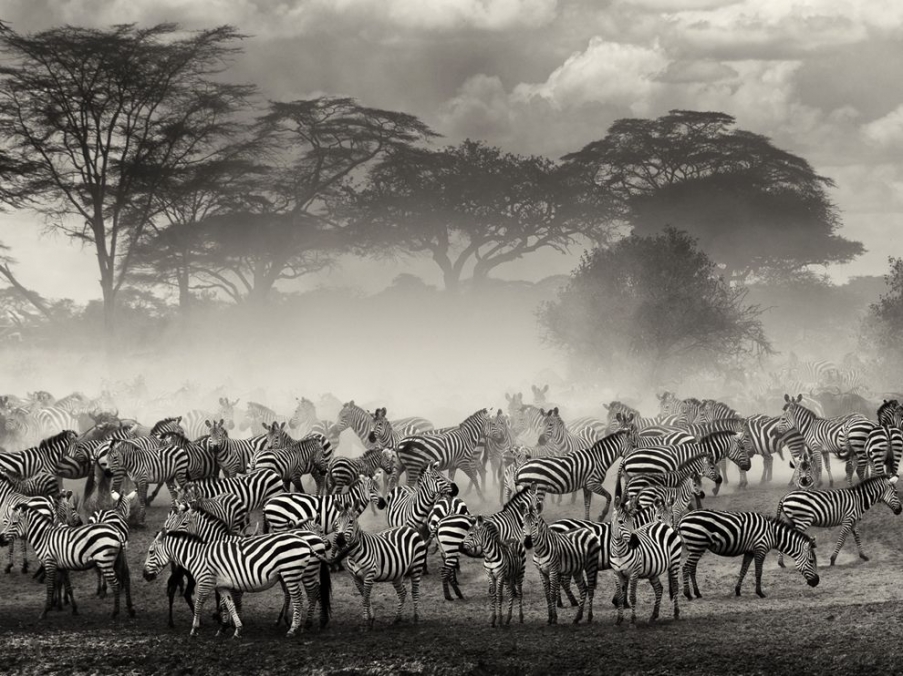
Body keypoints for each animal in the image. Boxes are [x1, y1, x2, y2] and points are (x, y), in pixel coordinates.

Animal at [0, 502, 134, 618]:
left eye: (14, 523)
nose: (0, 538)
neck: (43, 537)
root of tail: (116, 531)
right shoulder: (62, 566)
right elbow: (68, 588)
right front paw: (74, 609)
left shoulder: (49, 563)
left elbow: (50, 587)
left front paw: (45, 611)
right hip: (117, 560)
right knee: (126, 580)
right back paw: (130, 609)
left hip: (104, 561)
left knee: (116, 584)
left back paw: (115, 612)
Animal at [142, 528, 326, 637]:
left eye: (150, 552)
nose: (145, 575)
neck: (197, 556)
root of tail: (305, 541)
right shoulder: (222, 586)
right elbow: (230, 605)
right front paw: (236, 629)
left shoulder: (205, 581)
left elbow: (199, 604)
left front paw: (194, 629)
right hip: (296, 573)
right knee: (311, 593)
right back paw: (303, 625)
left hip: (291, 572)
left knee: (299, 598)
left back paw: (294, 628)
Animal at [520, 485, 599, 624]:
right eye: (523, 524)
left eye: (536, 524)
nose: (528, 543)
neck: (540, 551)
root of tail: (587, 530)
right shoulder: (541, 571)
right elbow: (547, 595)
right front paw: (549, 618)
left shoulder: (553, 570)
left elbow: (552, 594)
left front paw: (554, 618)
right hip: (578, 569)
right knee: (583, 589)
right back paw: (577, 617)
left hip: (591, 565)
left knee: (589, 589)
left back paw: (589, 617)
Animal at [610, 480, 681, 626]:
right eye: (620, 522)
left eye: (632, 521)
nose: (634, 542)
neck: (619, 551)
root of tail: (664, 527)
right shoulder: (616, 573)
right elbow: (620, 596)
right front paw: (619, 620)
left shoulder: (634, 572)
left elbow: (632, 596)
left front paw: (632, 621)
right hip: (653, 570)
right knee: (659, 588)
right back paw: (654, 615)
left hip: (674, 563)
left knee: (675, 586)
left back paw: (676, 614)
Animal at [678, 509, 820, 599]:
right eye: (811, 561)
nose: (817, 582)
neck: (773, 534)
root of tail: (682, 519)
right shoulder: (760, 549)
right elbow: (758, 572)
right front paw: (760, 593)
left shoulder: (750, 551)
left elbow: (743, 570)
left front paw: (737, 591)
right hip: (697, 545)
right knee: (686, 568)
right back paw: (688, 594)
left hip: (697, 547)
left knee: (692, 569)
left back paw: (697, 593)